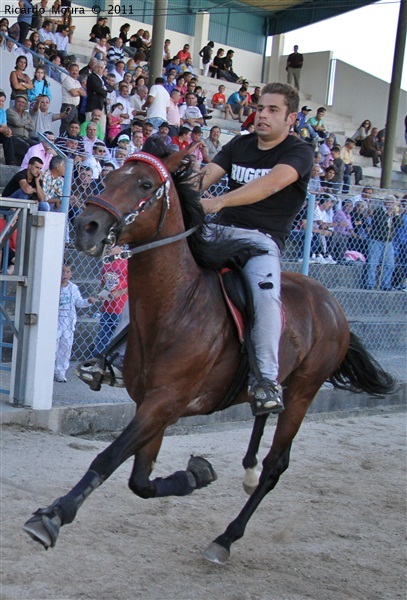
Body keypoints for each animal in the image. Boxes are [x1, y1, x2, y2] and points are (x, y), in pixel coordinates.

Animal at [23, 149, 396, 564]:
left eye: (145, 185)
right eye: (109, 178)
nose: (85, 226)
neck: (180, 306)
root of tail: (332, 305)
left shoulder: (166, 402)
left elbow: (109, 458)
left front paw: (52, 516)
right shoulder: (151, 404)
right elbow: (141, 481)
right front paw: (196, 474)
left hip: (304, 391)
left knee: (276, 464)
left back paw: (227, 536)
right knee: (261, 422)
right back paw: (248, 464)